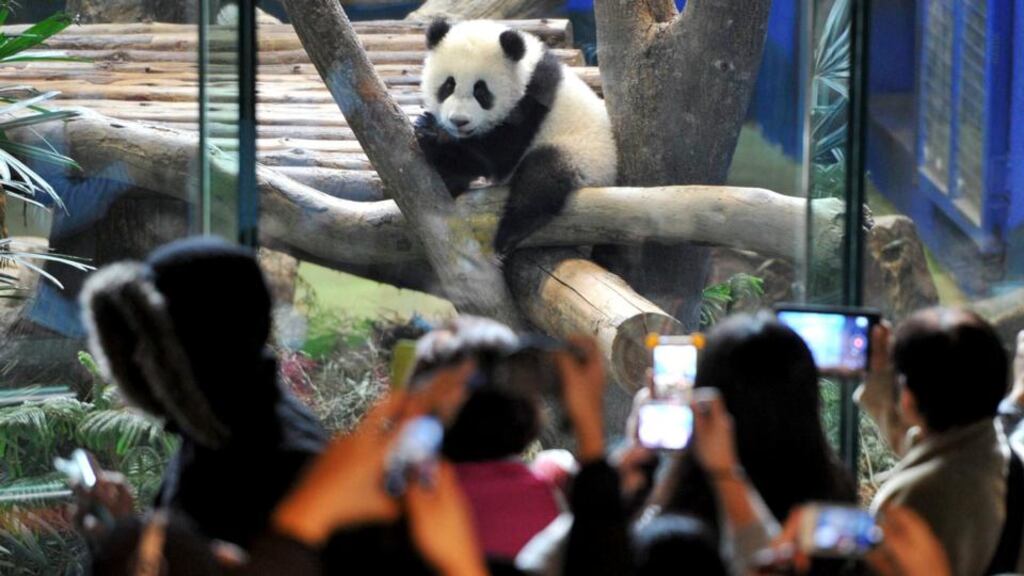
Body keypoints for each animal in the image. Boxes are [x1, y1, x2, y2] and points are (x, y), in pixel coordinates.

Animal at [414, 19, 617, 258]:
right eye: (448, 85)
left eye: (481, 91)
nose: (459, 121)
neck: (526, 67)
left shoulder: (533, 99)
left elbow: (499, 155)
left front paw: (433, 135)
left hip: (583, 155)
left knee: (541, 178)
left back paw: (509, 234)